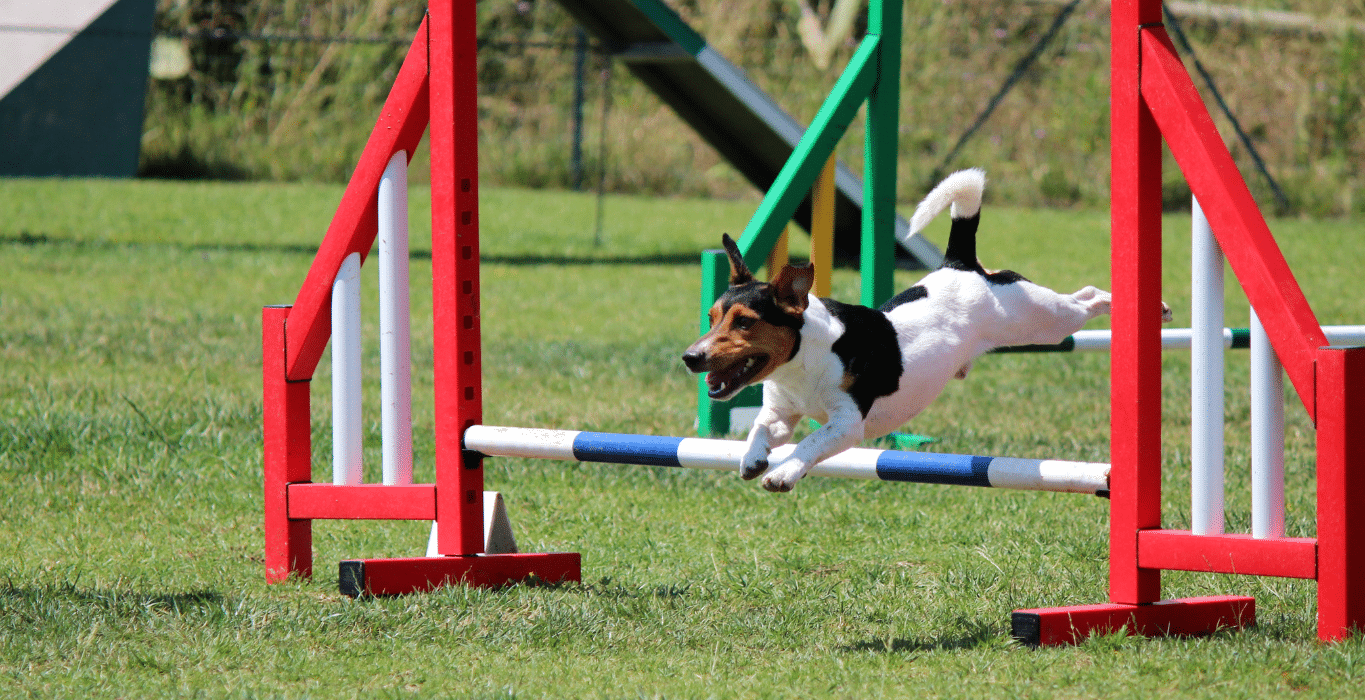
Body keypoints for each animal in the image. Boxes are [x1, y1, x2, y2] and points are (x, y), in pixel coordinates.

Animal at [682, 169, 1162, 493]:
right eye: (711, 317)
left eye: (745, 321)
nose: (691, 357)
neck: (805, 359)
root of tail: (960, 265)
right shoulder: (781, 413)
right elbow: (760, 430)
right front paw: (753, 459)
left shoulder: (847, 424)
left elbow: (809, 443)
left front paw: (783, 472)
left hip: (1042, 318)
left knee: (1086, 297)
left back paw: (1151, 305)